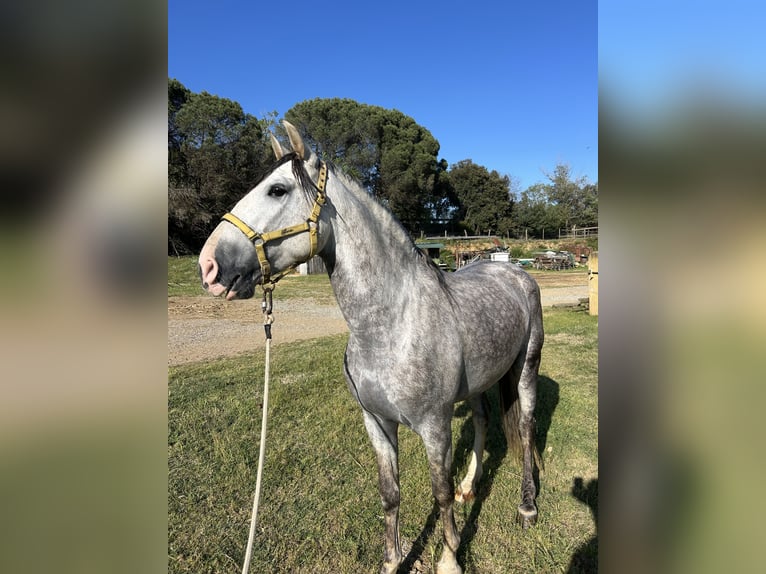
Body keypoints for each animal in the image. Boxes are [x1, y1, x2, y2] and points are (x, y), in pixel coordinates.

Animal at [198, 121, 544, 574]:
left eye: (277, 190)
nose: (208, 266)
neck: (391, 325)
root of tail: (513, 271)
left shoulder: (435, 427)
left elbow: (439, 493)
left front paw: (449, 559)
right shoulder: (377, 423)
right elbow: (390, 493)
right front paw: (392, 561)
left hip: (525, 369)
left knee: (525, 427)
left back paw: (527, 506)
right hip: (482, 381)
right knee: (485, 420)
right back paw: (472, 485)